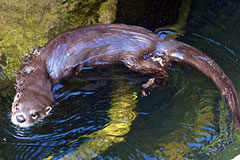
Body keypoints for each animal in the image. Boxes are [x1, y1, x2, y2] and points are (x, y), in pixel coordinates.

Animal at [11, 23, 240, 129]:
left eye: (35, 114)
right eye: (16, 106)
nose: (20, 118)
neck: (45, 70)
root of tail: (157, 40)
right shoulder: (32, 60)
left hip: (132, 59)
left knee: (161, 71)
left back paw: (147, 86)